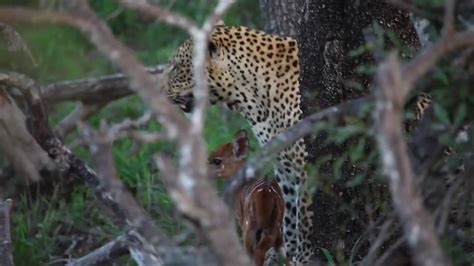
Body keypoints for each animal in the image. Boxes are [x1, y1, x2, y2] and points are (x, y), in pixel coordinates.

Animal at [160, 25, 314, 264]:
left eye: (176, 68)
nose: (157, 91)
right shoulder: (284, 163)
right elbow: (289, 213)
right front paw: (284, 253)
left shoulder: (304, 163)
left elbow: (305, 217)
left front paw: (303, 257)